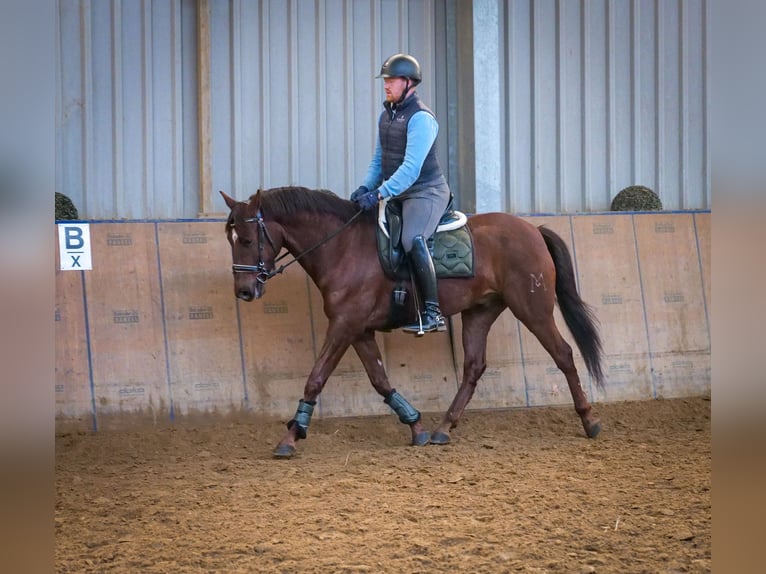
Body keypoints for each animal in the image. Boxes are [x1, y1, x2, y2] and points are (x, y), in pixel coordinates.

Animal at [220, 187, 608, 462]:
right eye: (230, 239)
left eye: (249, 240)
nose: (244, 291)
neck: (343, 247)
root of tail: (533, 229)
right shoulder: (358, 329)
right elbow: (380, 379)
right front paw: (415, 425)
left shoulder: (344, 325)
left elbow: (316, 378)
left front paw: (291, 436)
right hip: (480, 311)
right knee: (473, 367)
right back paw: (443, 428)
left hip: (532, 309)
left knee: (563, 354)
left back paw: (589, 421)